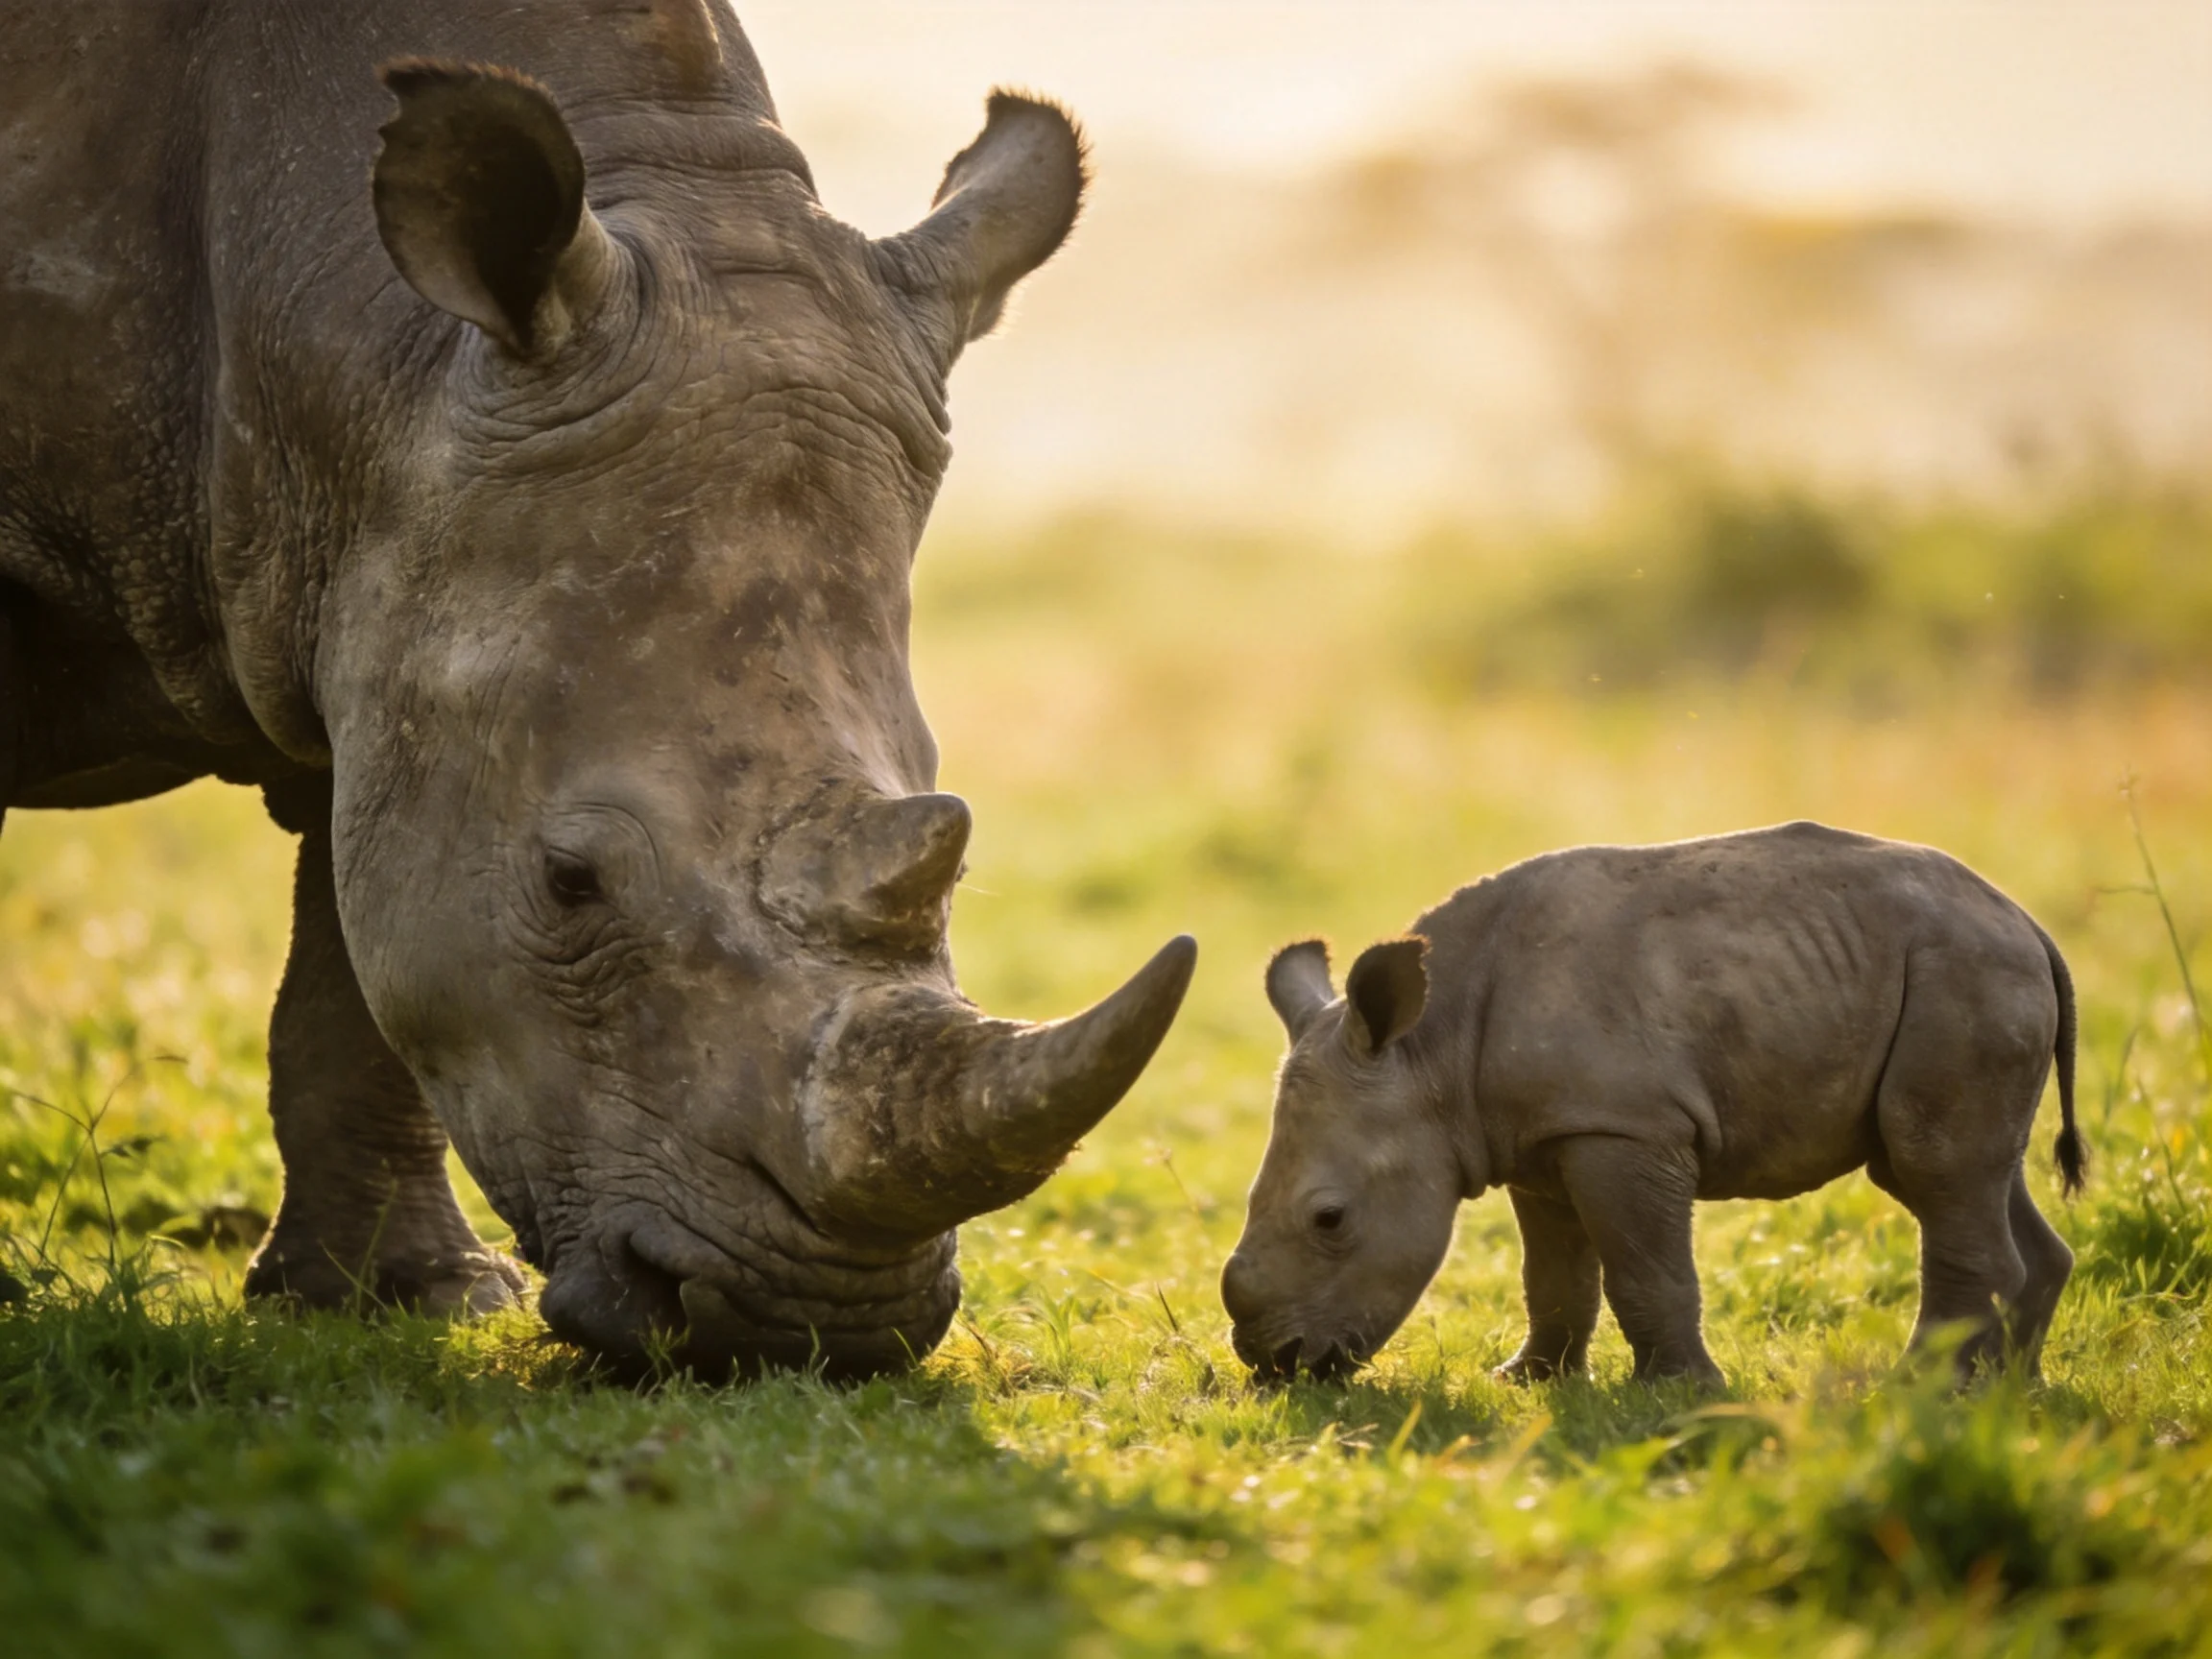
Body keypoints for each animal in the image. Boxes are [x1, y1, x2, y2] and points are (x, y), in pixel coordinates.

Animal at [0, 0, 1196, 1380]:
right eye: (570, 884)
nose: (819, 1326)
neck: (362, 355)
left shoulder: (360, 596)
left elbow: (355, 970)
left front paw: (400, 1300)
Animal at [1220, 823, 2082, 1387]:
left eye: (1330, 1220)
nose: (1277, 1365)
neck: (1428, 1052)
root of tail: (2026, 921)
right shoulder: (1539, 1133)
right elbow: (1554, 1276)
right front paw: (1526, 1380)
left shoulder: (1623, 1126)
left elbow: (1646, 1269)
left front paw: (1679, 1395)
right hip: (1963, 973)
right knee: (1950, 1170)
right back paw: (2010, 1388)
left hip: (1966, 971)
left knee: (1935, 1166)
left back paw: (1929, 1388)